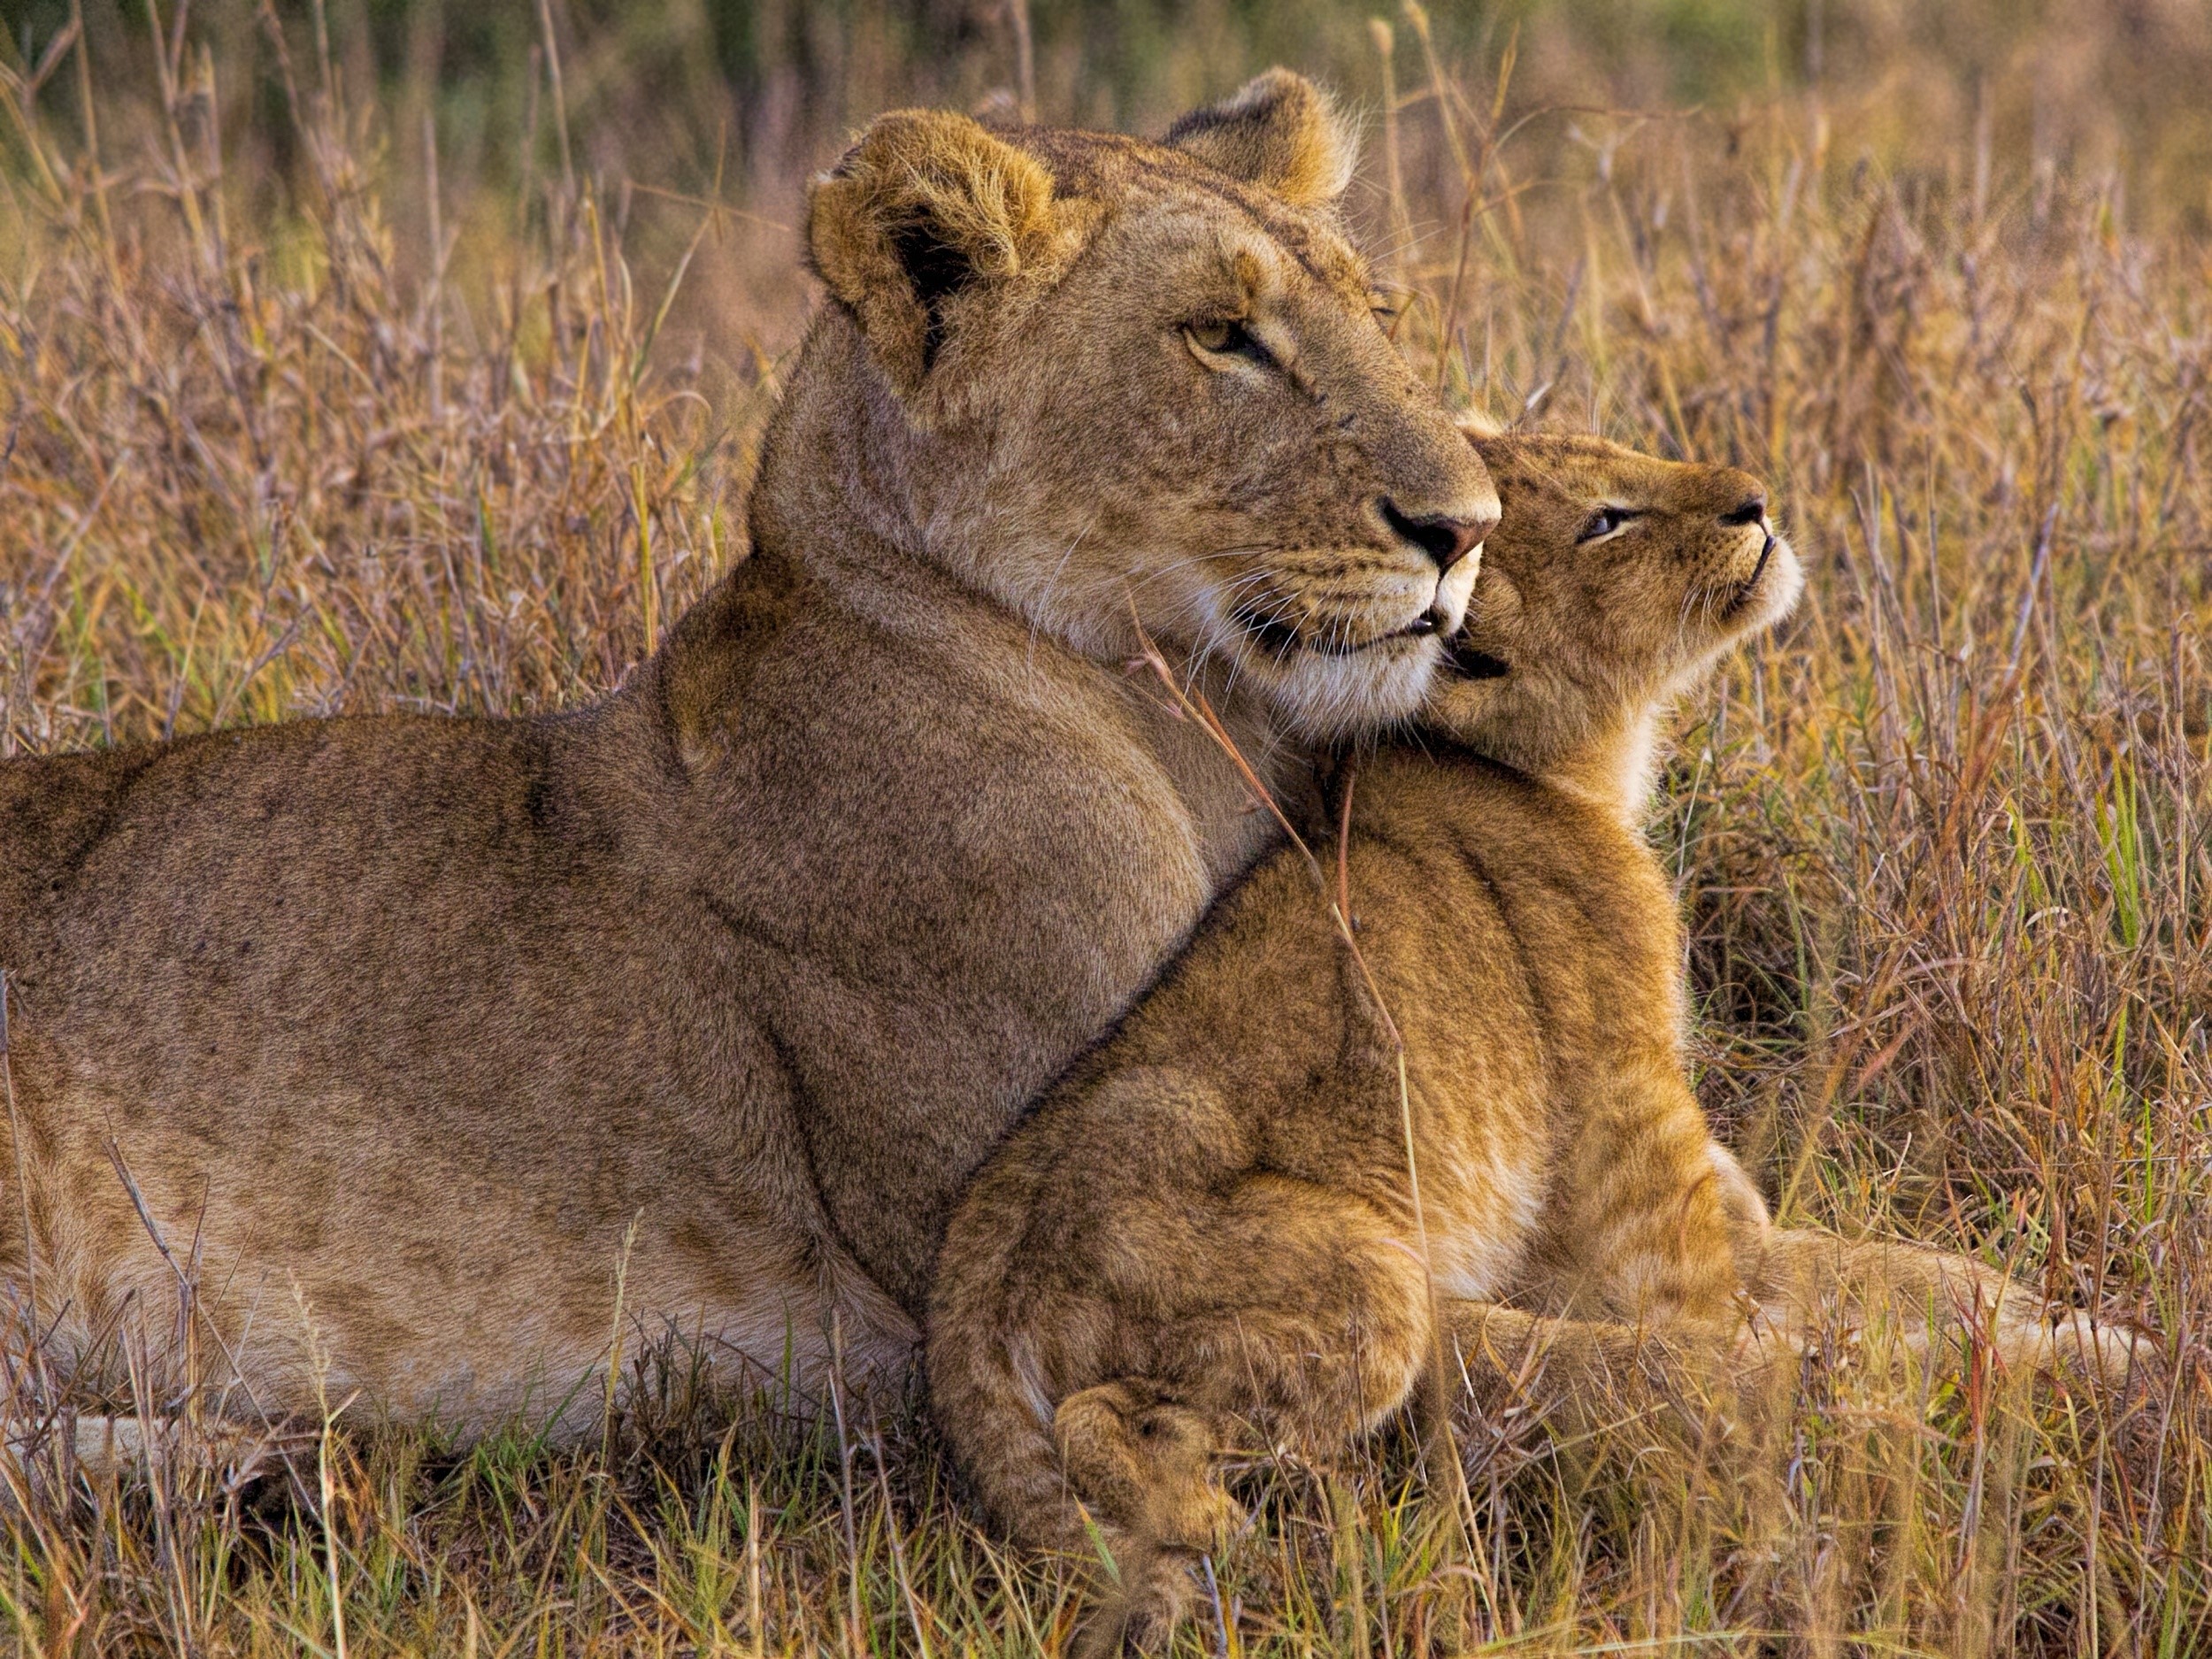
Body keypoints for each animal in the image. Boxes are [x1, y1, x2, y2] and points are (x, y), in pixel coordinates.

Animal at [0, 71, 1498, 1448]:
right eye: (1220, 337)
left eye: (1378, 314)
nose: (1470, 525)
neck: (1189, 729)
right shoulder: (1039, 1263)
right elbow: (1496, 1345)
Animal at [926, 434, 2137, 1651]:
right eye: (1606, 520)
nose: (1755, 502)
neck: (1576, 771)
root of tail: (964, 1294)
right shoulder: (1640, 1185)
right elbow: (1733, 1340)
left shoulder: (1710, 1224)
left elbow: (1903, 1273)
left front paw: (2073, 1327)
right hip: (1368, 1282)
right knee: (1105, 1419)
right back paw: (1230, 1533)